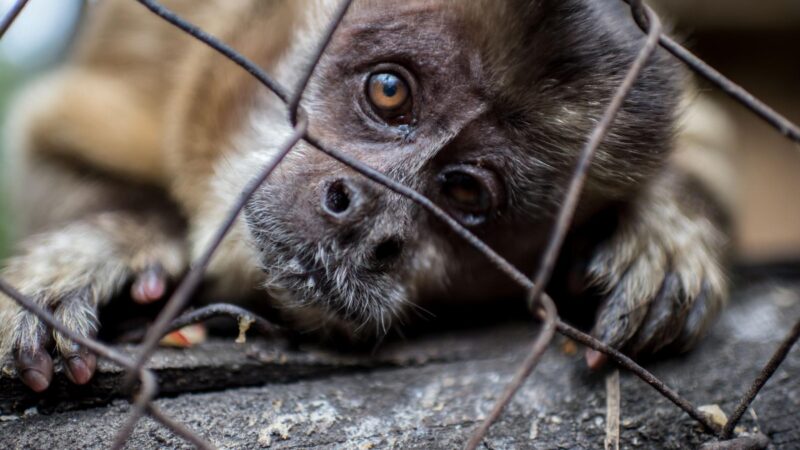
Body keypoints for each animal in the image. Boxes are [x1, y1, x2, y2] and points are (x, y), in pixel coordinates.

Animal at [0, 0, 732, 392]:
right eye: (388, 91)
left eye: (465, 190)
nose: (371, 222)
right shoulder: (147, 42)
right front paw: (108, 243)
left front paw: (663, 230)